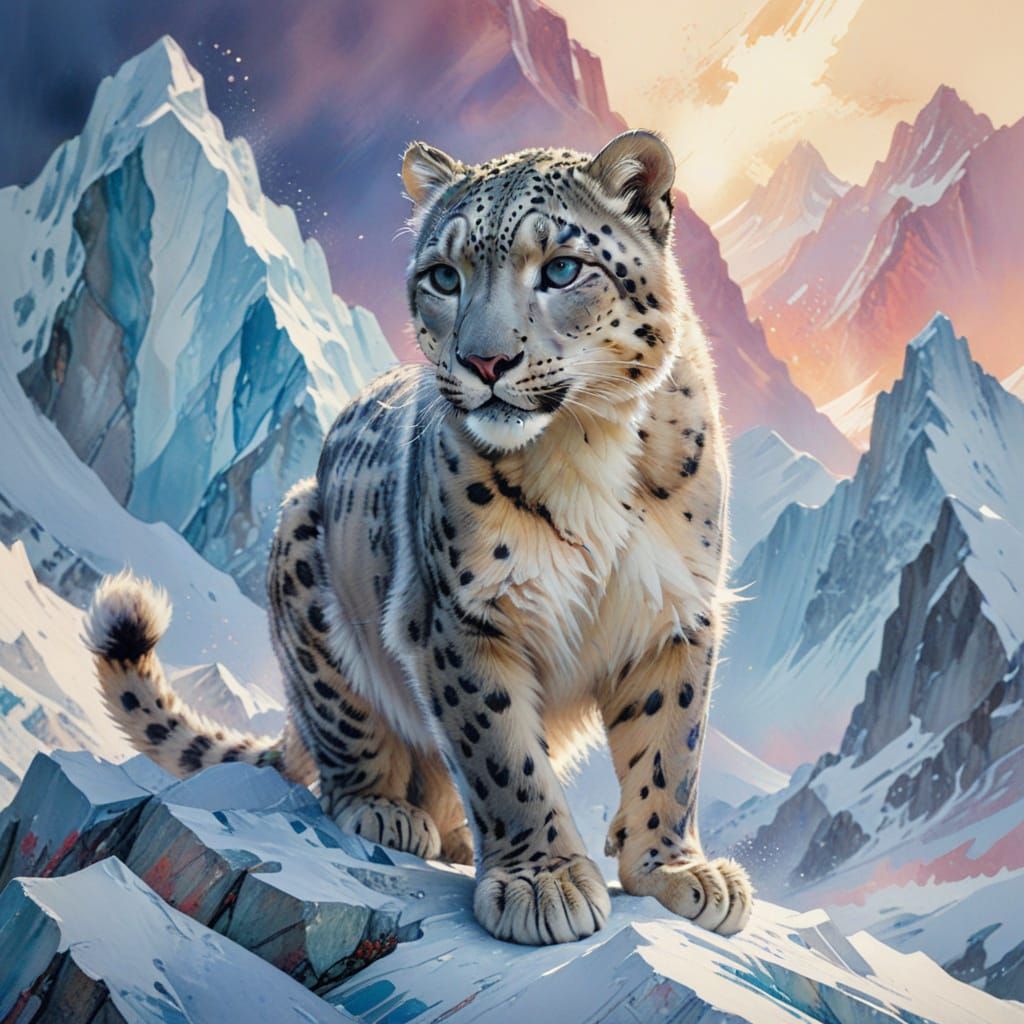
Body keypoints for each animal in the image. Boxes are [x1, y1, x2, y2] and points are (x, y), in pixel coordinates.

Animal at [85, 130, 753, 946]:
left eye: (563, 268)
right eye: (444, 276)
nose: (486, 361)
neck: (584, 441)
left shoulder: (676, 612)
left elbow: (670, 745)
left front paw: (675, 870)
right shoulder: (461, 613)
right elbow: (503, 755)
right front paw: (543, 882)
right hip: (305, 560)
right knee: (348, 749)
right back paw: (388, 811)